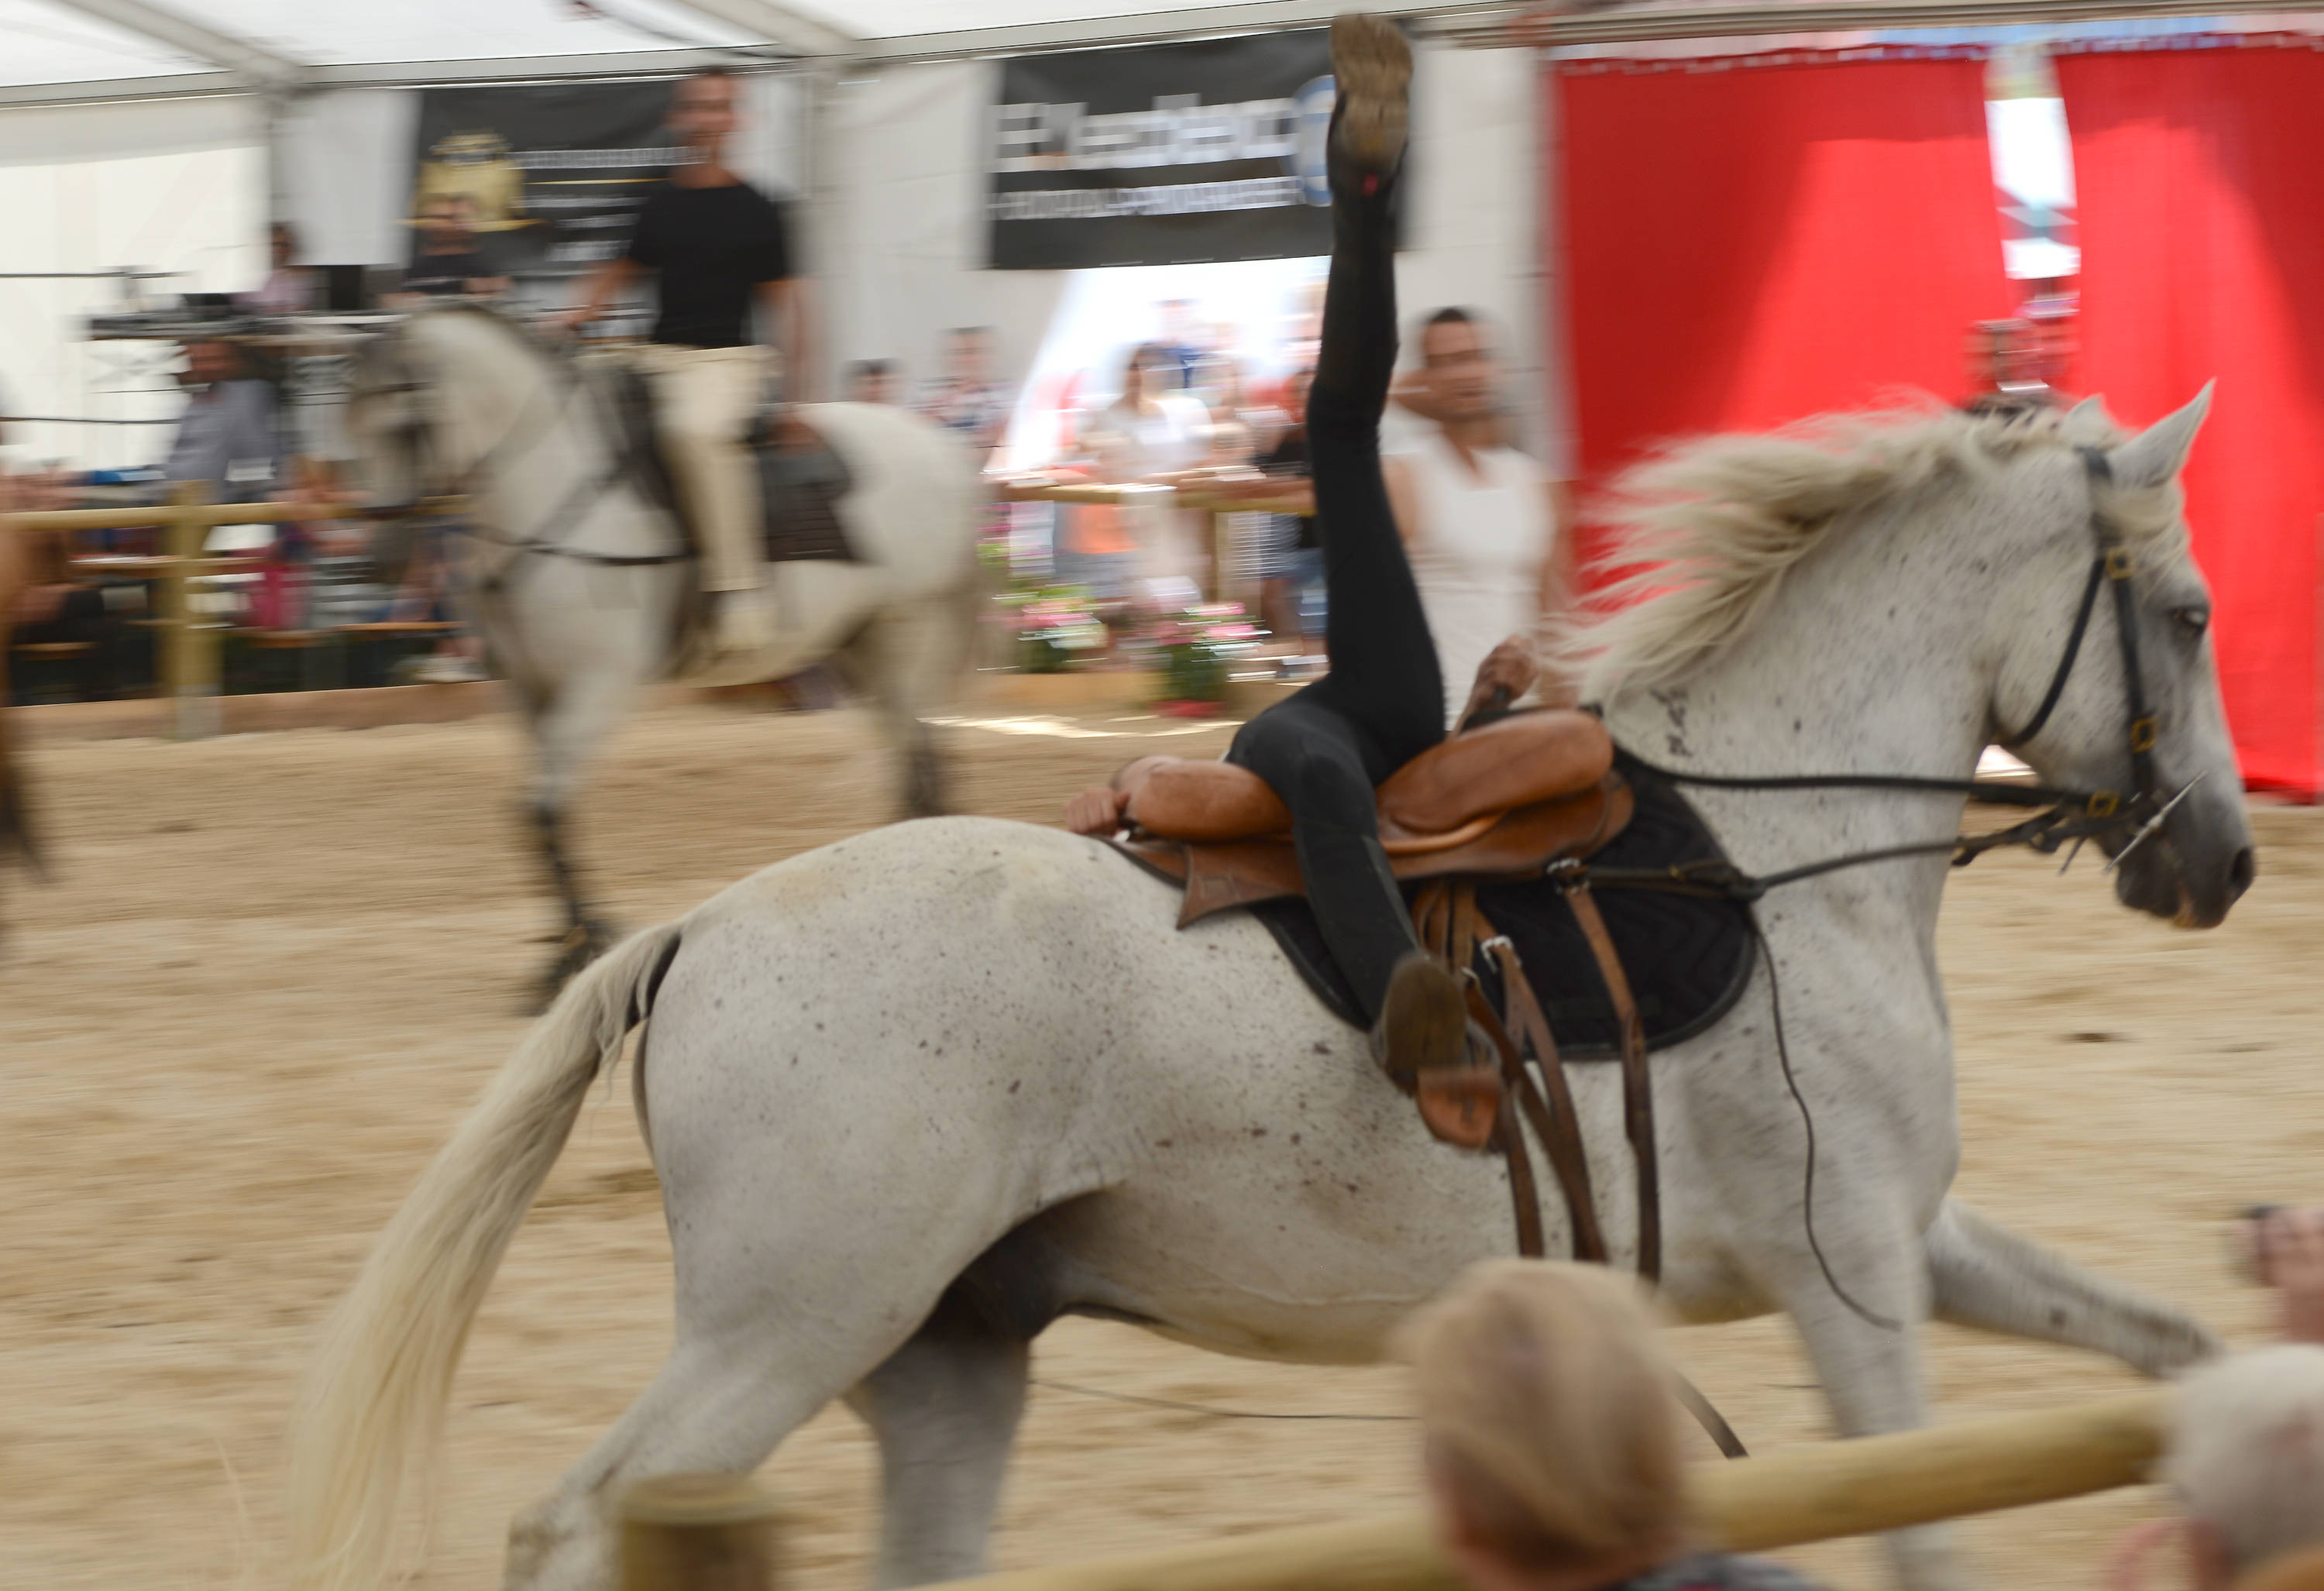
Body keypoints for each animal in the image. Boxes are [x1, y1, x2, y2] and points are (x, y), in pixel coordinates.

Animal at [286, 387, 2250, 1589]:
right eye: (2195, 614)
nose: (2221, 864)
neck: (1771, 846)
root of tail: (696, 933)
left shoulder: (1909, 1242)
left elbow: (2171, 1353)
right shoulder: (1846, 1286)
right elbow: (1925, 1524)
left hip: (938, 1362)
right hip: (784, 1329)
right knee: (571, 1527)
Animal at [349, 306, 985, 994]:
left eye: (409, 424)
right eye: (352, 420)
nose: (378, 558)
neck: (551, 489)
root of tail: (940, 448)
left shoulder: (598, 684)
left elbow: (543, 810)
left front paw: (584, 945)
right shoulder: (528, 692)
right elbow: (538, 813)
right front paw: (567, 947)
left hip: (907, 633)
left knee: (924, 766)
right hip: (860, 645)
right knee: (912, 764)